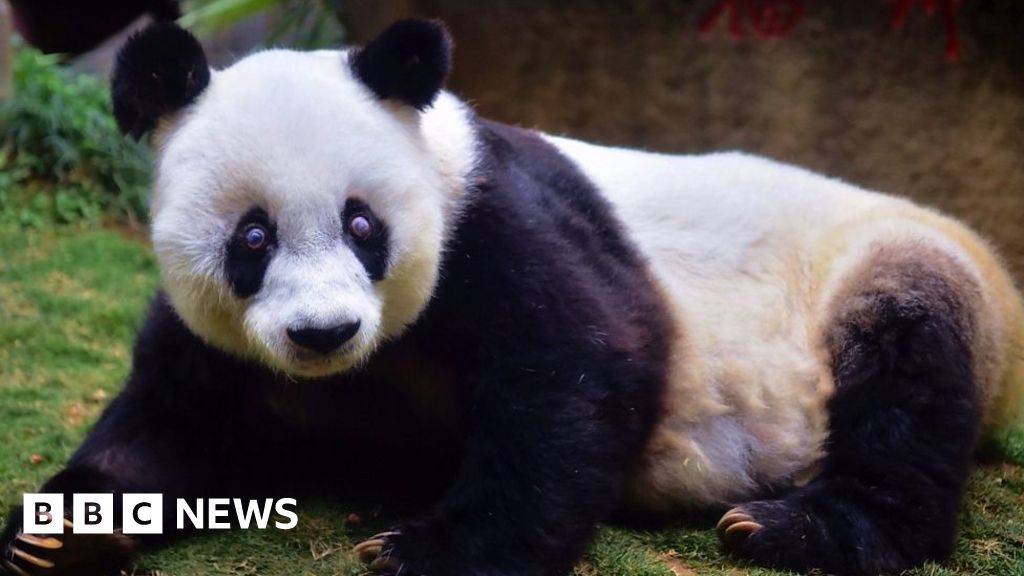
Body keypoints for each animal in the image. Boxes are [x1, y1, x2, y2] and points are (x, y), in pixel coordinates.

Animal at [2, 17, 1024, 573]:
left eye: (363, 225)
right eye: (253, 238)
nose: (323, 332)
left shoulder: (494, 225)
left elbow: (579, 370)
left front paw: (426, 550)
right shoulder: (214, 336)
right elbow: (169, 417)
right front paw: (59, 534)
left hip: (886, 270)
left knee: (907, 372)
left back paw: (795, 525)